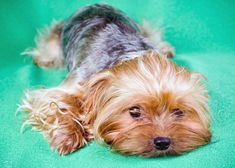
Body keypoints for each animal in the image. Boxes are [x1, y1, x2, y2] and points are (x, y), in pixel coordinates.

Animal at [19, 3, 211, 157]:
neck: (130, 55)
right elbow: (56, 103)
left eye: (179, 112)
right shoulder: (73, 84)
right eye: (134, 112)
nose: (163, 142)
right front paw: (67, 135)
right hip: (53, 44)